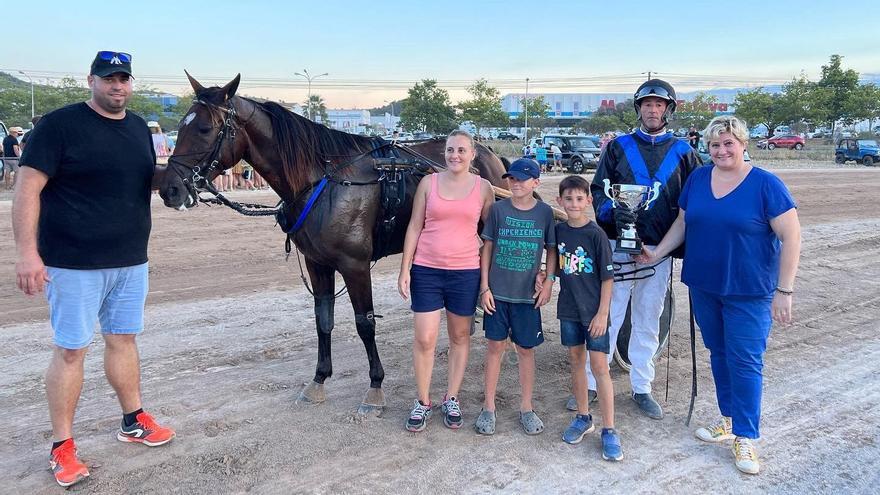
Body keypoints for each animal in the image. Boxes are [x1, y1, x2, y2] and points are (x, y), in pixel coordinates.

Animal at [160, 73, 508, 414]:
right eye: (181, 126)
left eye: (205, 128)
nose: (169, 189)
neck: (324, 182)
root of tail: (488, 153)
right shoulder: (318, 263)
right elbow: (323, 320)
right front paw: (319, 379)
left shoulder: (355, 265)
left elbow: (365, 323)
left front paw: (375, 387)